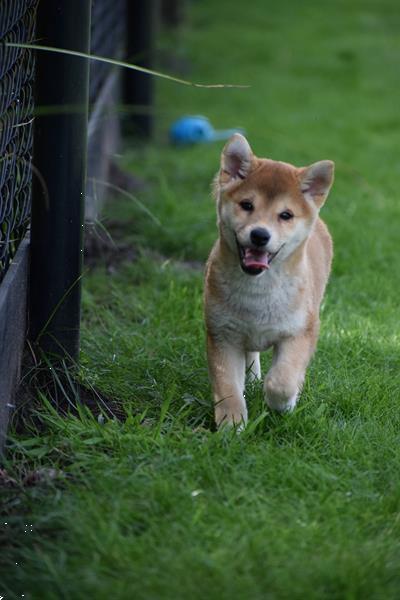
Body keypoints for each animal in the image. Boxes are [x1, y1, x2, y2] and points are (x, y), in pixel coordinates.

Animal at [205, 135, 332, 426]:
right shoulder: (221, 334)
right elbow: (227, 387)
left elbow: (282, 380)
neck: (259, 291)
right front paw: (232, 424)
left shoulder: (301, 331)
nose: (260, 235)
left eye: (286, 215)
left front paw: (283, 404)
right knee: (251, 354)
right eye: (247, 205)